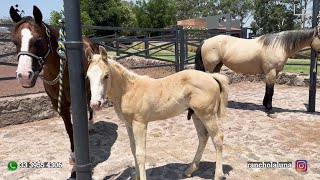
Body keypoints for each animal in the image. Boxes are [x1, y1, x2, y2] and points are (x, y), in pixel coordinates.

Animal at [10, 5, 98, 179]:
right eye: (15, 41)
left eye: (38, 40)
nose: (24, 76)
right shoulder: (59, 104)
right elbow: (69, 128)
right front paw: (73, 156)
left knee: (90, 107)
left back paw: (91, 126)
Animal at [86, 46, 229, 180]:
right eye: (88, 76)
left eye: (106, 75)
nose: (95, 104)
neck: (128, 90)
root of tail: (211, 76)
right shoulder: (128, 124)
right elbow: (133, 149)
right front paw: (135, 176)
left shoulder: (140, 124)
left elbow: (140, 153)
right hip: (196, 114)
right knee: (203, 137)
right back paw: (190, 170)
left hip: (207, 115)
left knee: (217, 138)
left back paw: (218, 175)